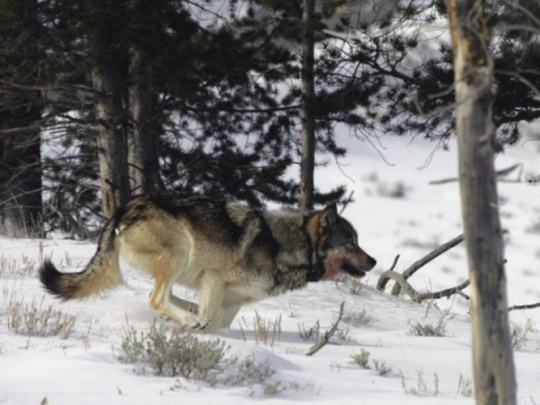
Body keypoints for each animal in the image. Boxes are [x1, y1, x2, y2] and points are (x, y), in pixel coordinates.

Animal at [39, 195, 376, 332]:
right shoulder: (215, 280)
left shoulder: (233, 301)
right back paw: (191, 320)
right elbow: (213, 324)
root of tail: (125, 207)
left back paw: (189, 314)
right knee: (155, 298)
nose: (373, 260)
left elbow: (220, 324)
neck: (288, 246)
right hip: (181, 251)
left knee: (163, 296)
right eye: (351, 242)